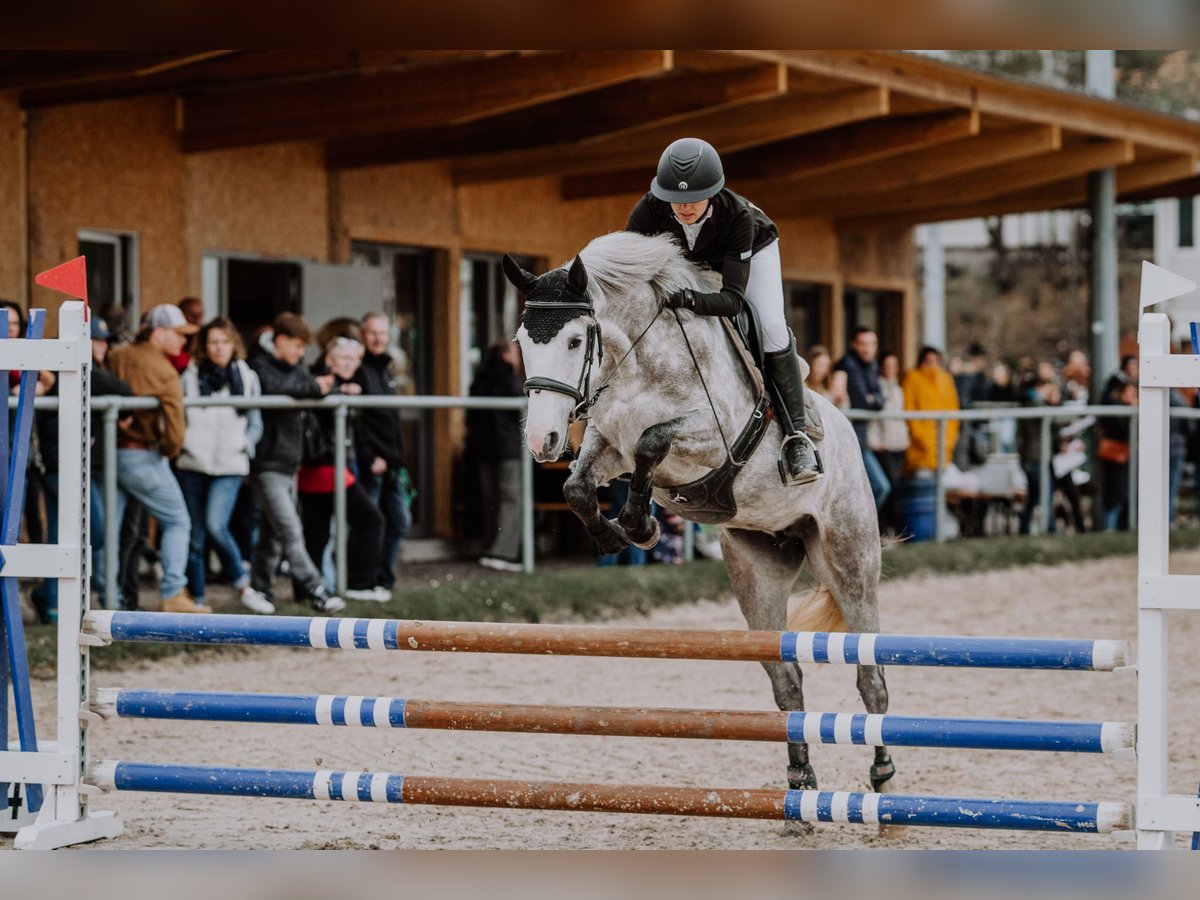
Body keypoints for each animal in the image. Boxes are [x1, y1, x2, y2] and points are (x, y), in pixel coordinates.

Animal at [501, 232, 897, 801]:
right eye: (521, 341)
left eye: (576, 342)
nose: (542, 440)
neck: (637, 359)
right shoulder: (607, 443)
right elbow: (577, 486)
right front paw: (621, 535)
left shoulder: (712, 439)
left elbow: (653, 441)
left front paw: (640, 524)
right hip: (757, 572)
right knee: (787, 679)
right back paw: (800, 777)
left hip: (849, 560)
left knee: (870, 675)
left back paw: (883, 774)